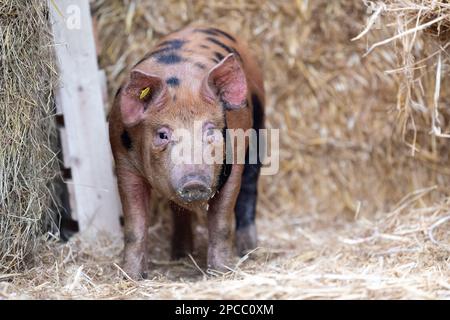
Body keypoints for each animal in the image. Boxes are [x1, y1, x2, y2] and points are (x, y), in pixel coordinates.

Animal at [108, 26, 264, 278]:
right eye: (163, 135)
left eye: (210, 130)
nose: (194, 181)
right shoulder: (123, 162)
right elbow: (134, 227)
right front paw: (130, 277)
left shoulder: (234, 164)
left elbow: (221, 223)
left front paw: (220, 273)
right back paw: (180, 255)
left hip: (260, 124)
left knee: (250, 186)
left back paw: (249, 249)